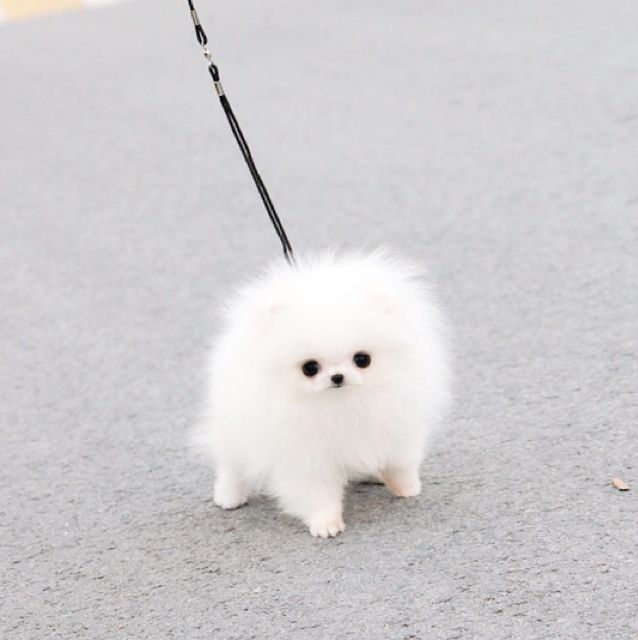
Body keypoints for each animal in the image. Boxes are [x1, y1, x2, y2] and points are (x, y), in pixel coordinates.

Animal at [200, 250, 450, 536]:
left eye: (362, 359)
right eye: (310, 368)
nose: (337, 376)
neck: (342, 404)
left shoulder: (395, 426)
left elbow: (400, 462)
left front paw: (407, 487)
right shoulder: (307, 456)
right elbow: (317, 493)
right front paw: (326, 524)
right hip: (236, 428)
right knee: (231, 464)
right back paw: (229, 496)